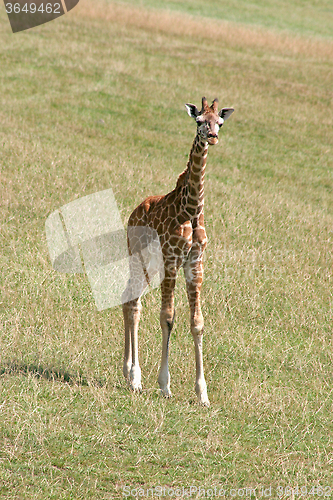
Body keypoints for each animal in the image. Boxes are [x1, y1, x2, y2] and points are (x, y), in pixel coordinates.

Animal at [120, 97, 232, 406]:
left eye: (219, 122)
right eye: (199, 121)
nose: (212, 136)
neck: (191, 209)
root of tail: (134, 212)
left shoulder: (195, 262)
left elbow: (197, 322)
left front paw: (203, 394)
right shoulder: (172, 258)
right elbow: (168, 317)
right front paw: (164, 385)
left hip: (150, 268)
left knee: (129, 298)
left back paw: (128, 371)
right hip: (137, 257)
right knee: (133, 303)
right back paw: (135, 378)